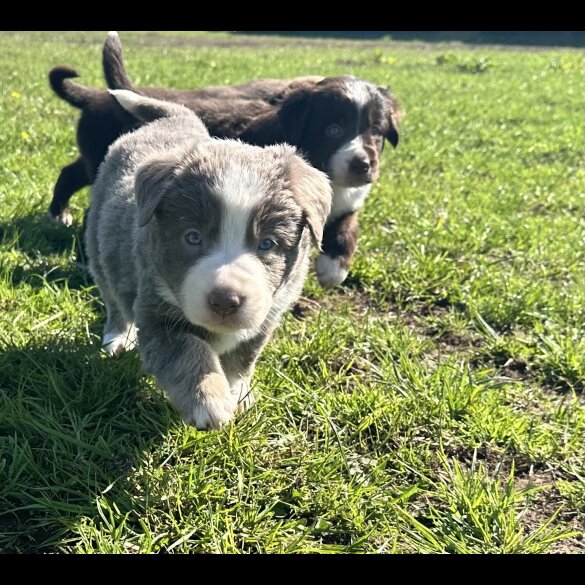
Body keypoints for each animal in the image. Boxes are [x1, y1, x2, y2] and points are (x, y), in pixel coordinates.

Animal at [49, 32, 402, 288]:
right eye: (332, 129)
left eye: (377, 132)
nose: (362, 165)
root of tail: (99, 95)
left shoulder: (347, 199)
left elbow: (347, 224)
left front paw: (334, 268)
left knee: (70, 172)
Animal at [86, 91, 334, 428]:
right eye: (193, 238)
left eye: (267, 244)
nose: (225, 300)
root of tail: (175, 120)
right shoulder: (157, 314)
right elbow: (188, 353)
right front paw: (209, 402)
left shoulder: (265, 319)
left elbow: (242, 360)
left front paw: (238, 394)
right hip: (98, 247)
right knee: (113, 299)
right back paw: (116, 338)